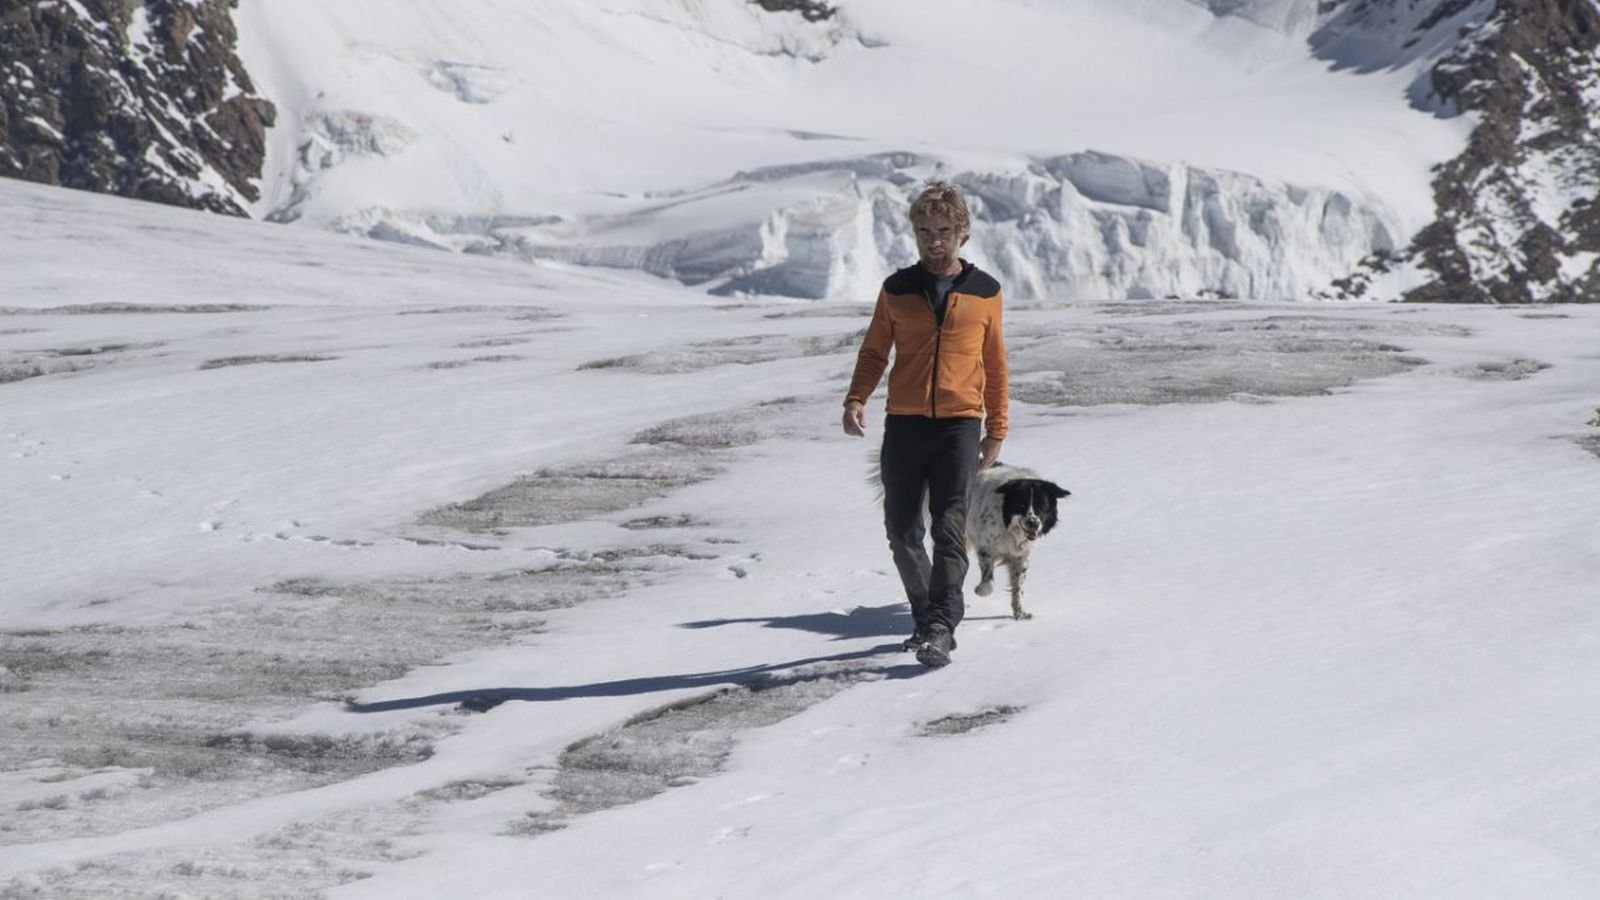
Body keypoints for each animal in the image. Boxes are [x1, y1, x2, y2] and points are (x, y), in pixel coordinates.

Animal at [966, 461, 1068, 614]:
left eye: (1042, 506)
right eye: (1021, 505)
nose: (1033, 523)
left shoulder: (1021, 555)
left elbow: (1018, 584)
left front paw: (1019, 612)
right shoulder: (986, 548)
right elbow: (989, 583)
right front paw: (980, 590)